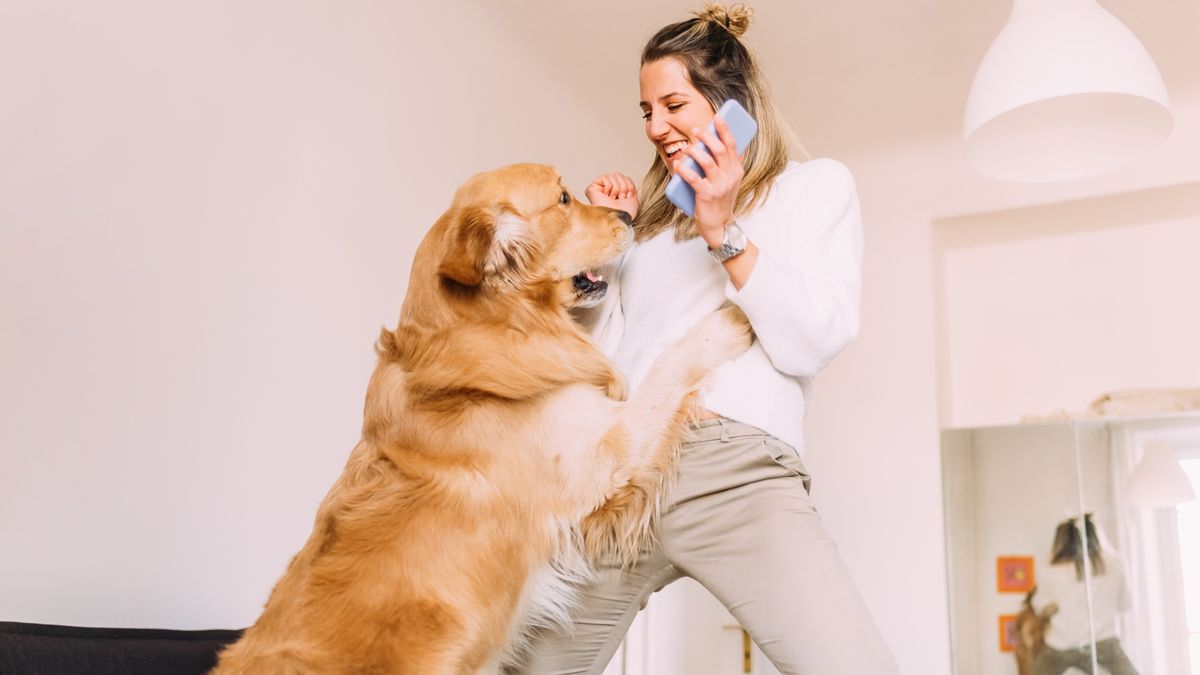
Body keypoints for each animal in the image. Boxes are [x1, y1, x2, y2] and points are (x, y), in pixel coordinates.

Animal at [211, 164, 744, 672]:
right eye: (563, 198)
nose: (625, 216)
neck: (493, 323)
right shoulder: (604, 451)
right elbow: (668, 366)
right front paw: (730, 318)